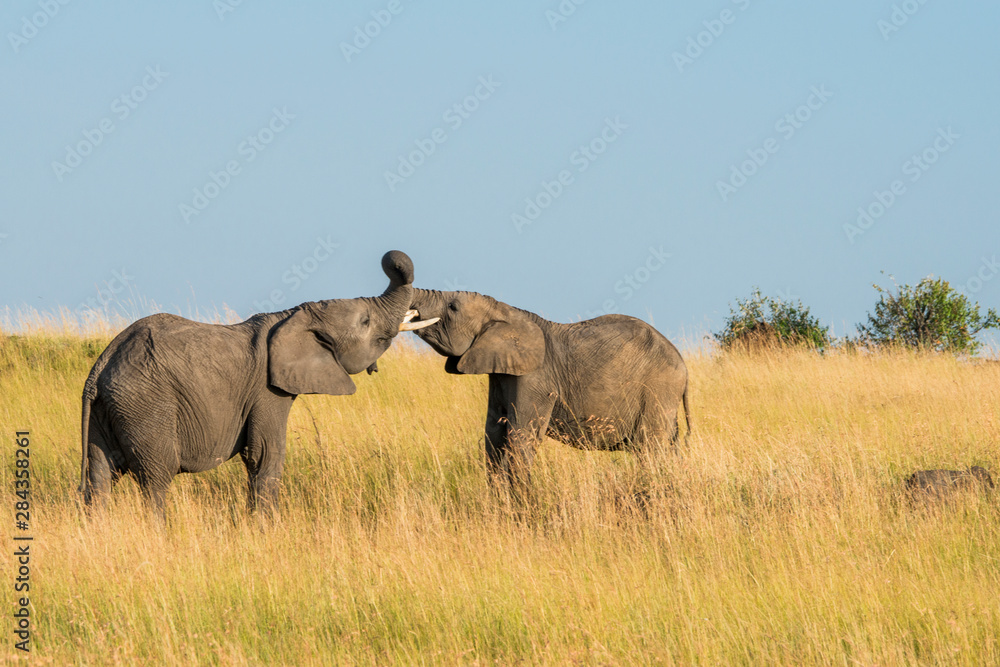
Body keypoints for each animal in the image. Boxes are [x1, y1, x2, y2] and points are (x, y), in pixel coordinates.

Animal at [78, 250, 438, 516]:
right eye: (365, 321)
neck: (293, 315)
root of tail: (99, 370)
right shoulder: (268, 391)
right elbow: (265, 454)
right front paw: (267, 530)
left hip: (109, 409)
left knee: (100, 477)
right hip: (146, 405)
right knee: (155, 477)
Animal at [404, 290, 688, 488]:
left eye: (452, 307)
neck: (506, 312)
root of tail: (683, 366)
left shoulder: (535, 379)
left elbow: (520, 437)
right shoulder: (501, 375)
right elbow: (493, 435)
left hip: (658, 392)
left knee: (651, 450)